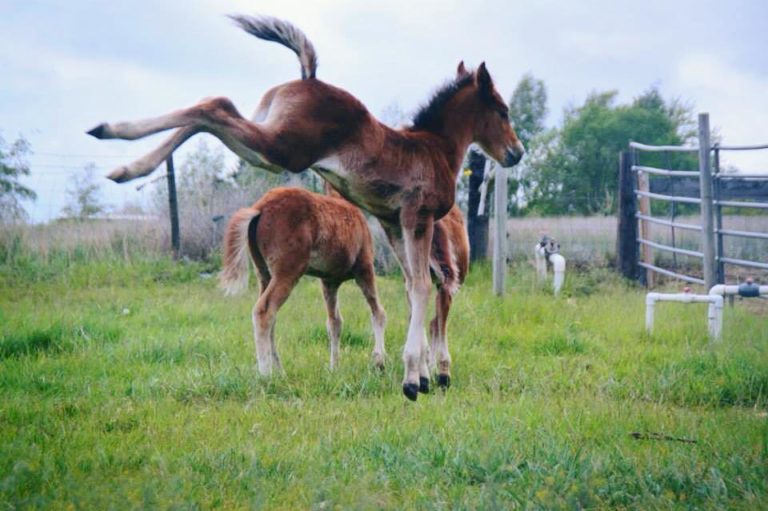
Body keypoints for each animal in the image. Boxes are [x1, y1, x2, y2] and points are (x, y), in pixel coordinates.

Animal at [220, 186, 387, 374]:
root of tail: (260, 208)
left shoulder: (329, 281)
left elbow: (334, 323)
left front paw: (334, 368)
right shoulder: (364, 266)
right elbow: (378, 312)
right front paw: (379, 361)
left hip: (263, 273)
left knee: (271, 316)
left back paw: (279, 371)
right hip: (288, 270)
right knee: (264, 311)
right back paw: (266, 374)